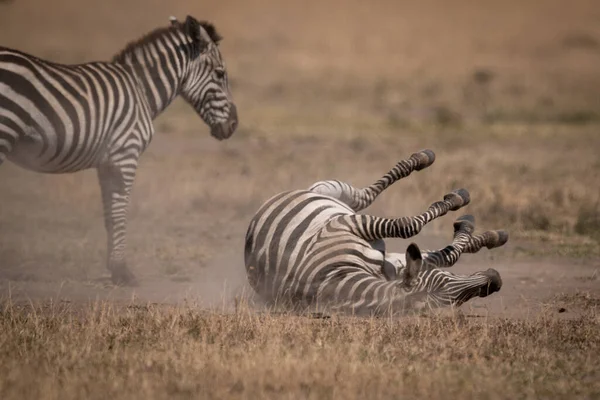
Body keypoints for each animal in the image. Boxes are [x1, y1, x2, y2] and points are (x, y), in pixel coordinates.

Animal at [0, 16, 239, 284]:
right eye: (220, 74)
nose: (234, 125)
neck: (141, 89)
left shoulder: (107, 161)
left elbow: (109, 215)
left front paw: (114, 267)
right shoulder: (126, 154)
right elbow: (120, 213)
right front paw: (122, 271)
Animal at [244, 150, 506, 316]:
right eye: (456, 299)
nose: (495, 280)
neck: (338, 275)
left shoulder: (388, 258)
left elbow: (445, 254)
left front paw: (470, 230)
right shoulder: (348, 225)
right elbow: (408, 226)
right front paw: (462, 216)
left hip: (331, 194)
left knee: (363, 197)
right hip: (332, 195)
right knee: (366, 196)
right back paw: (438, 176)